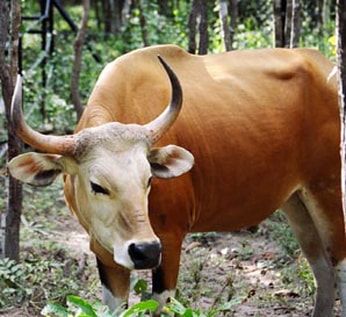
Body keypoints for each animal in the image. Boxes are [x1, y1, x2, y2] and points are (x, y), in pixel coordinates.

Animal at [6, 45, 346, 316]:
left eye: (148, 180)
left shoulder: (169, 241)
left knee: (338, 264)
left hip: (329, 189)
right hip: (297, 201)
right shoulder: (105, 252)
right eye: (97, 185)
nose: (144, 251)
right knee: (323, 271)